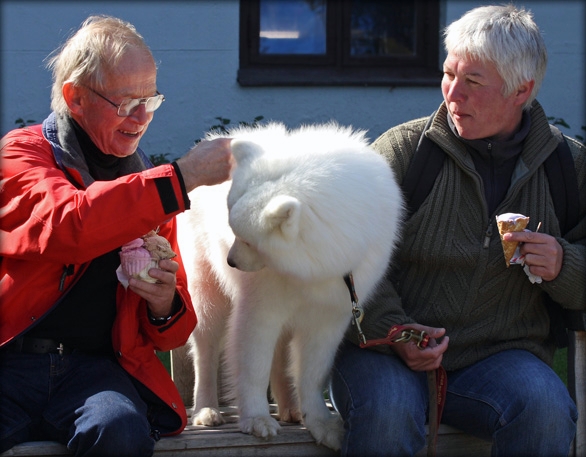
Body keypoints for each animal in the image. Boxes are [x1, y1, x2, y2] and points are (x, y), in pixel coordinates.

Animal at [173, 123, 402, 450]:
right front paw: (257, 420)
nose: (230, 261)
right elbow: (253, 362)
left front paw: (322, 423)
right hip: (207, 290)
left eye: (248, 241)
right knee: (206, 348)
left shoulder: (331, 311)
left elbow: (313, 371)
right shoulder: (261, 305)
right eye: (232, 229)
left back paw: (290, 408)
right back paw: (206, 410)